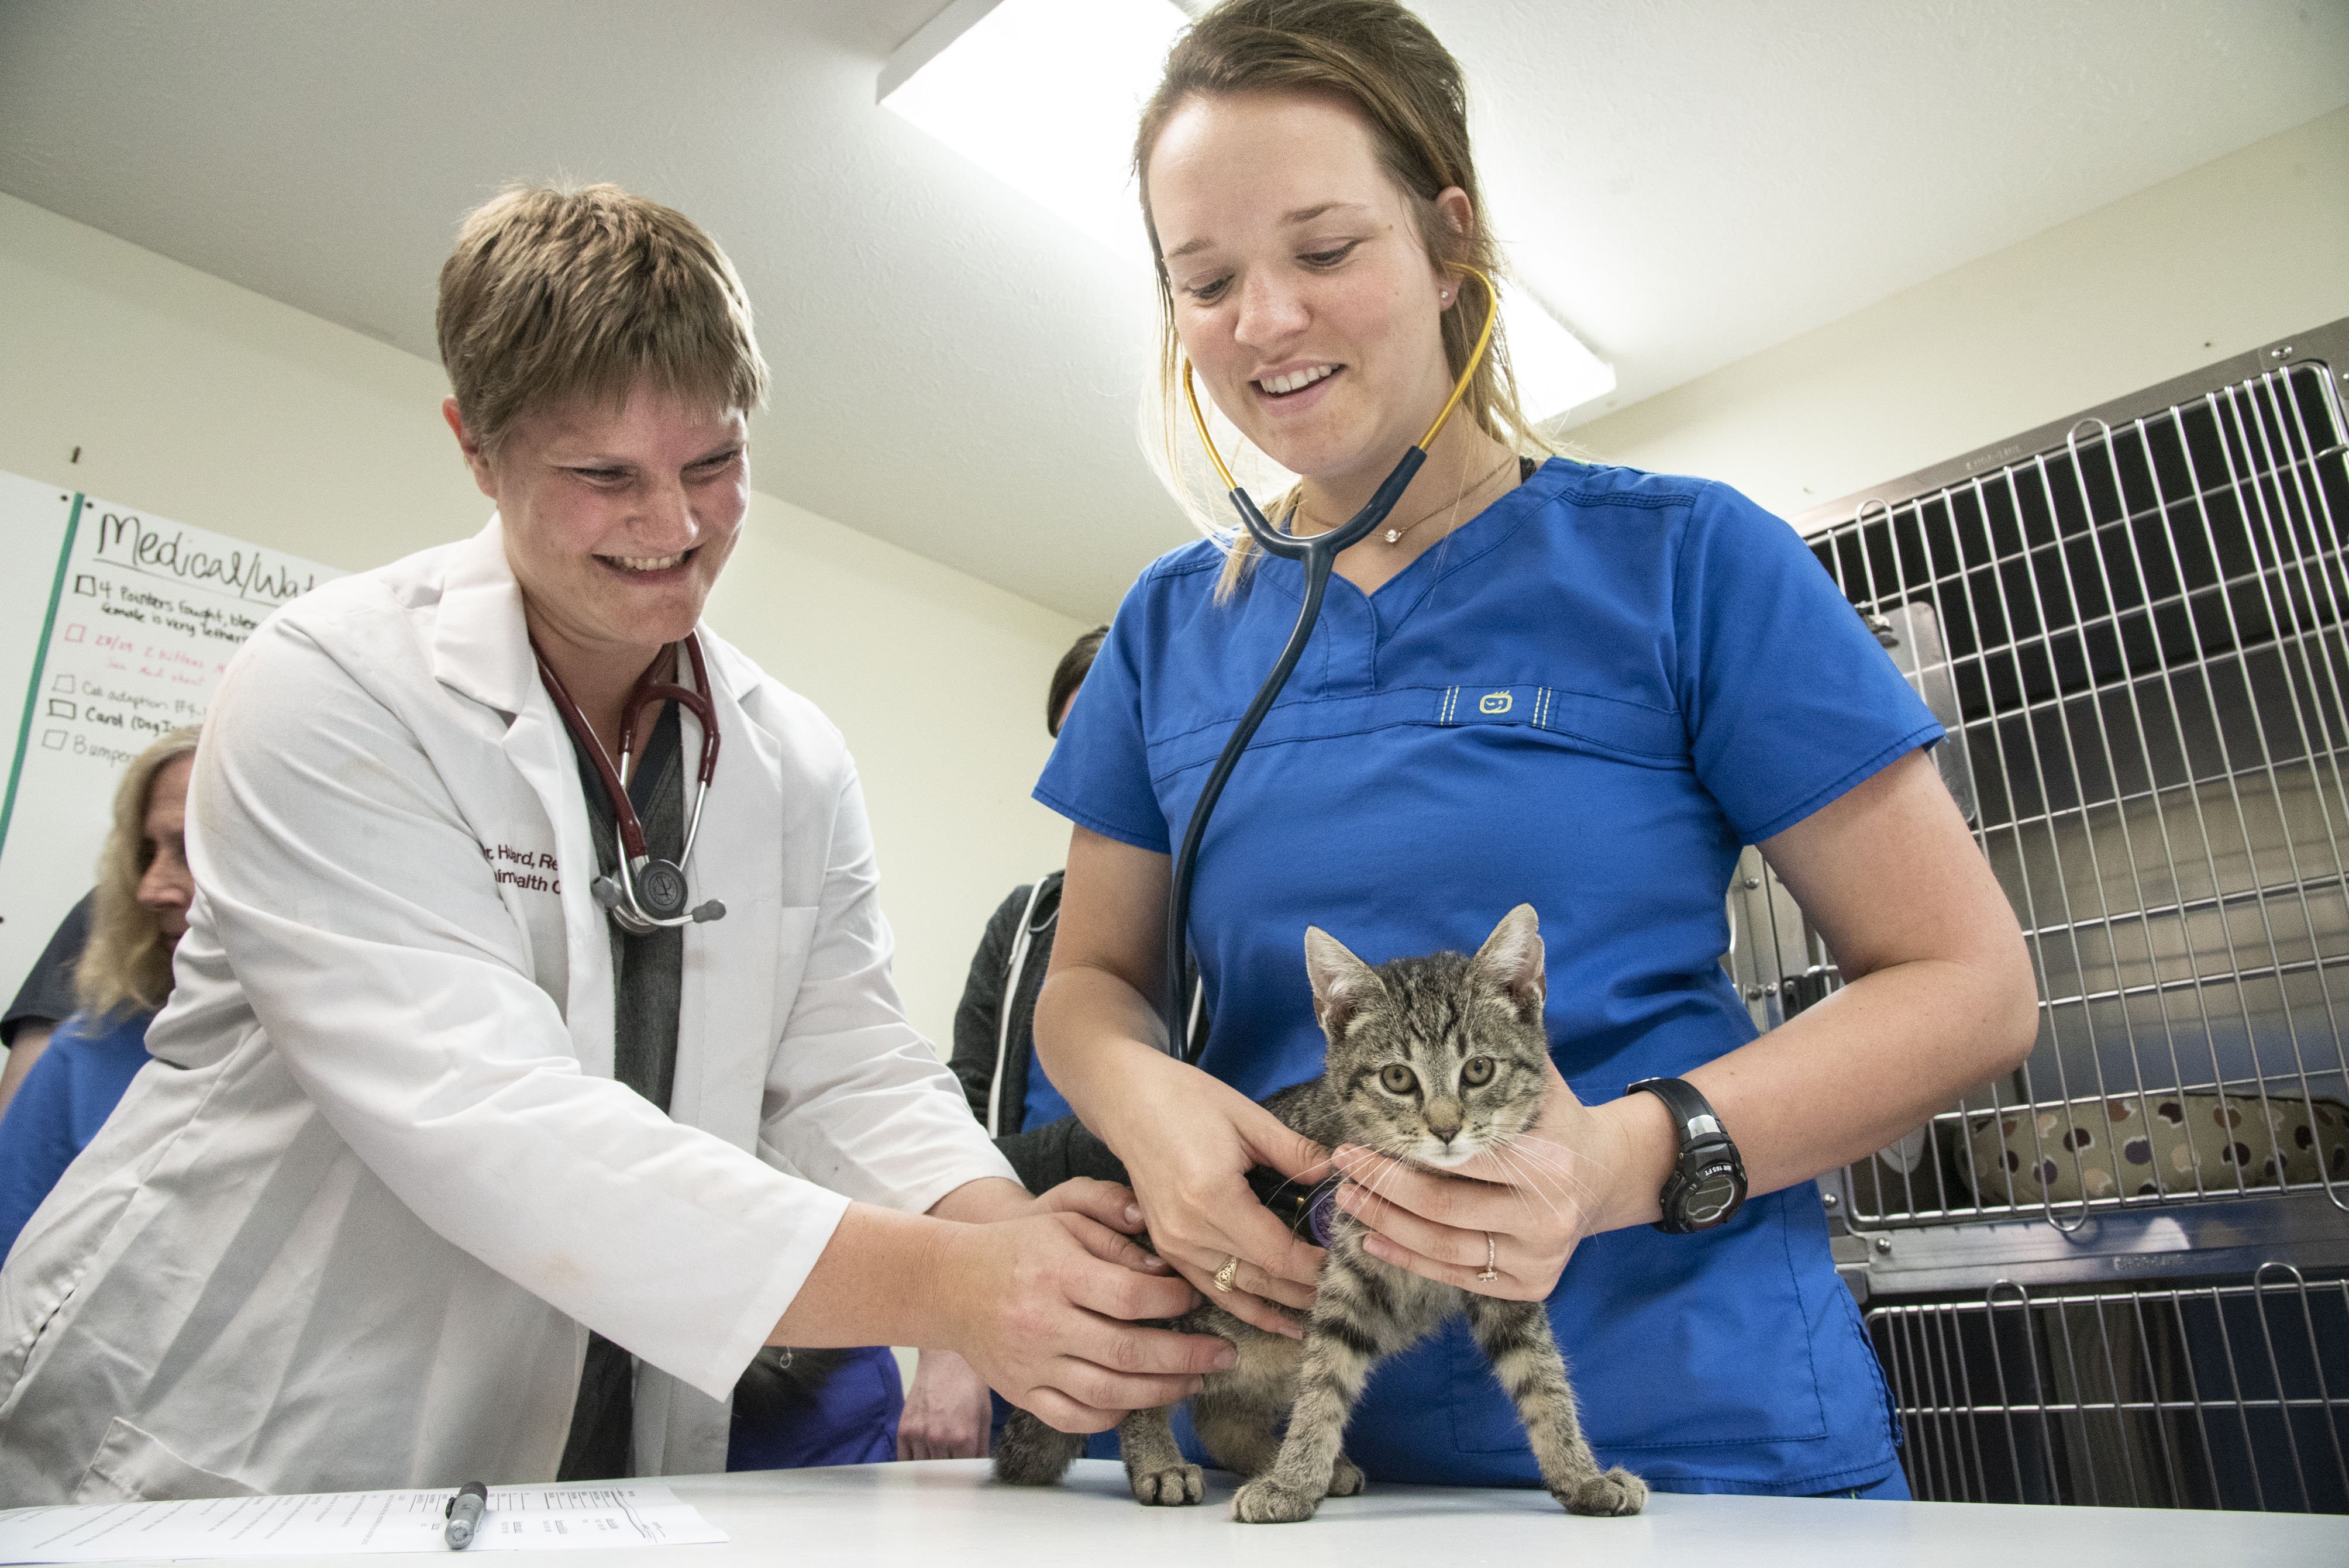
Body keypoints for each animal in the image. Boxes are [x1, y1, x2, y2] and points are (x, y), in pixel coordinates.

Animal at [1000, 901, 1644, 1521]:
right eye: (1397, 1077)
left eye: (1479, 1069)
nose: (1444, 1128)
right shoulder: (1343, 1284)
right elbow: (1323, 1384)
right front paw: (1292, 1481)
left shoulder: (1504, 1278)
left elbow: (1543, 1380)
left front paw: (1581, 1476)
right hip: (1161, 1312)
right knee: (1139, 1393)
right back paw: (1162, 1462)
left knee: (1220, 1414)